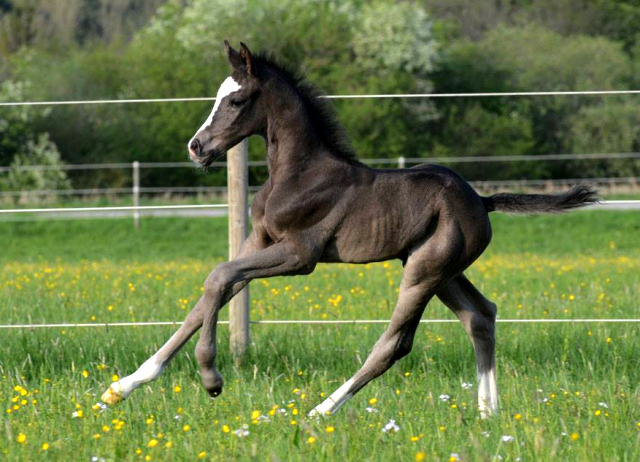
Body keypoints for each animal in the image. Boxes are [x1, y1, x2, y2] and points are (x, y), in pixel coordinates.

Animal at [101, 42, 600, 418]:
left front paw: (211, 378)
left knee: (394, 345)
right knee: (481, 315)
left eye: (236, 100)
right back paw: (487, 413)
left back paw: (321, 410)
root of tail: (481, 201)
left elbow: (219, 277)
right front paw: (123, 387)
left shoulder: (299, 255)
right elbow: (209, 293)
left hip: (424, 271)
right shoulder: (258, 240)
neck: (297, 174)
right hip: (443, 271)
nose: (196, 147)